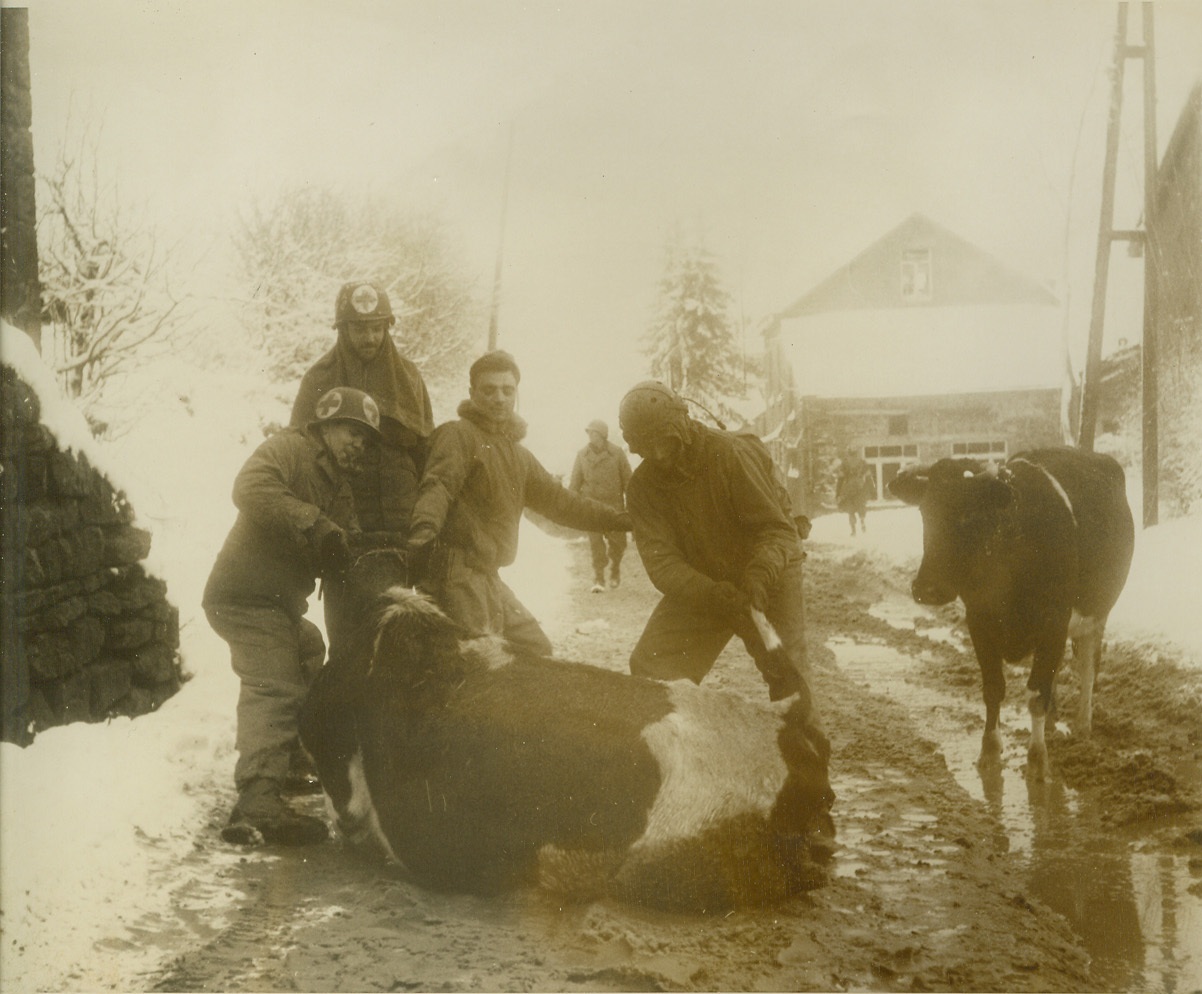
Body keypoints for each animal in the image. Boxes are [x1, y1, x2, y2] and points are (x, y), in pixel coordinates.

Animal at [894, 447, 1134, 783]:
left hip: (1096, 615)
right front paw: (989, 752)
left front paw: (1037, 760)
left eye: (969, 515)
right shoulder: (979, 621)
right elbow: (994, 689)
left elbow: (1035, 694)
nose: (926, 588)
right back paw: (1053, 720)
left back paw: (1081, 725)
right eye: (925, 512)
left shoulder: (1053, 622)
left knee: (1087, 667)